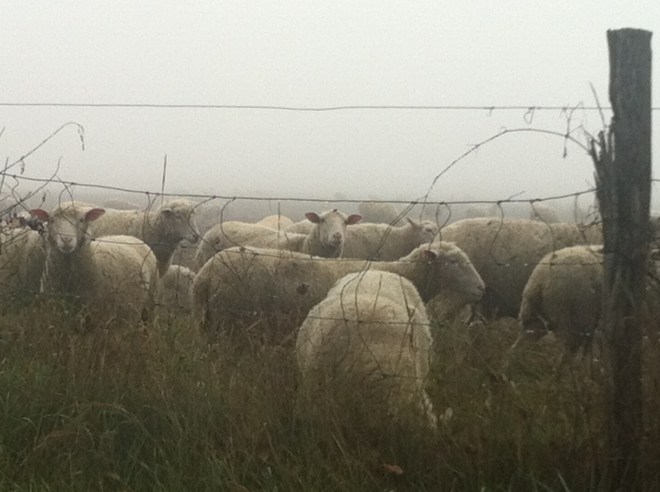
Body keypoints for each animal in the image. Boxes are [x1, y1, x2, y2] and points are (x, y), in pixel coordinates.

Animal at [31, 202, 159, 327]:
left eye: (82, 220)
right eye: (52, 220)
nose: (66, 240)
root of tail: (131, 238)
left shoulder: (97, 317)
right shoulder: (54, 313)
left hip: (149, 305)